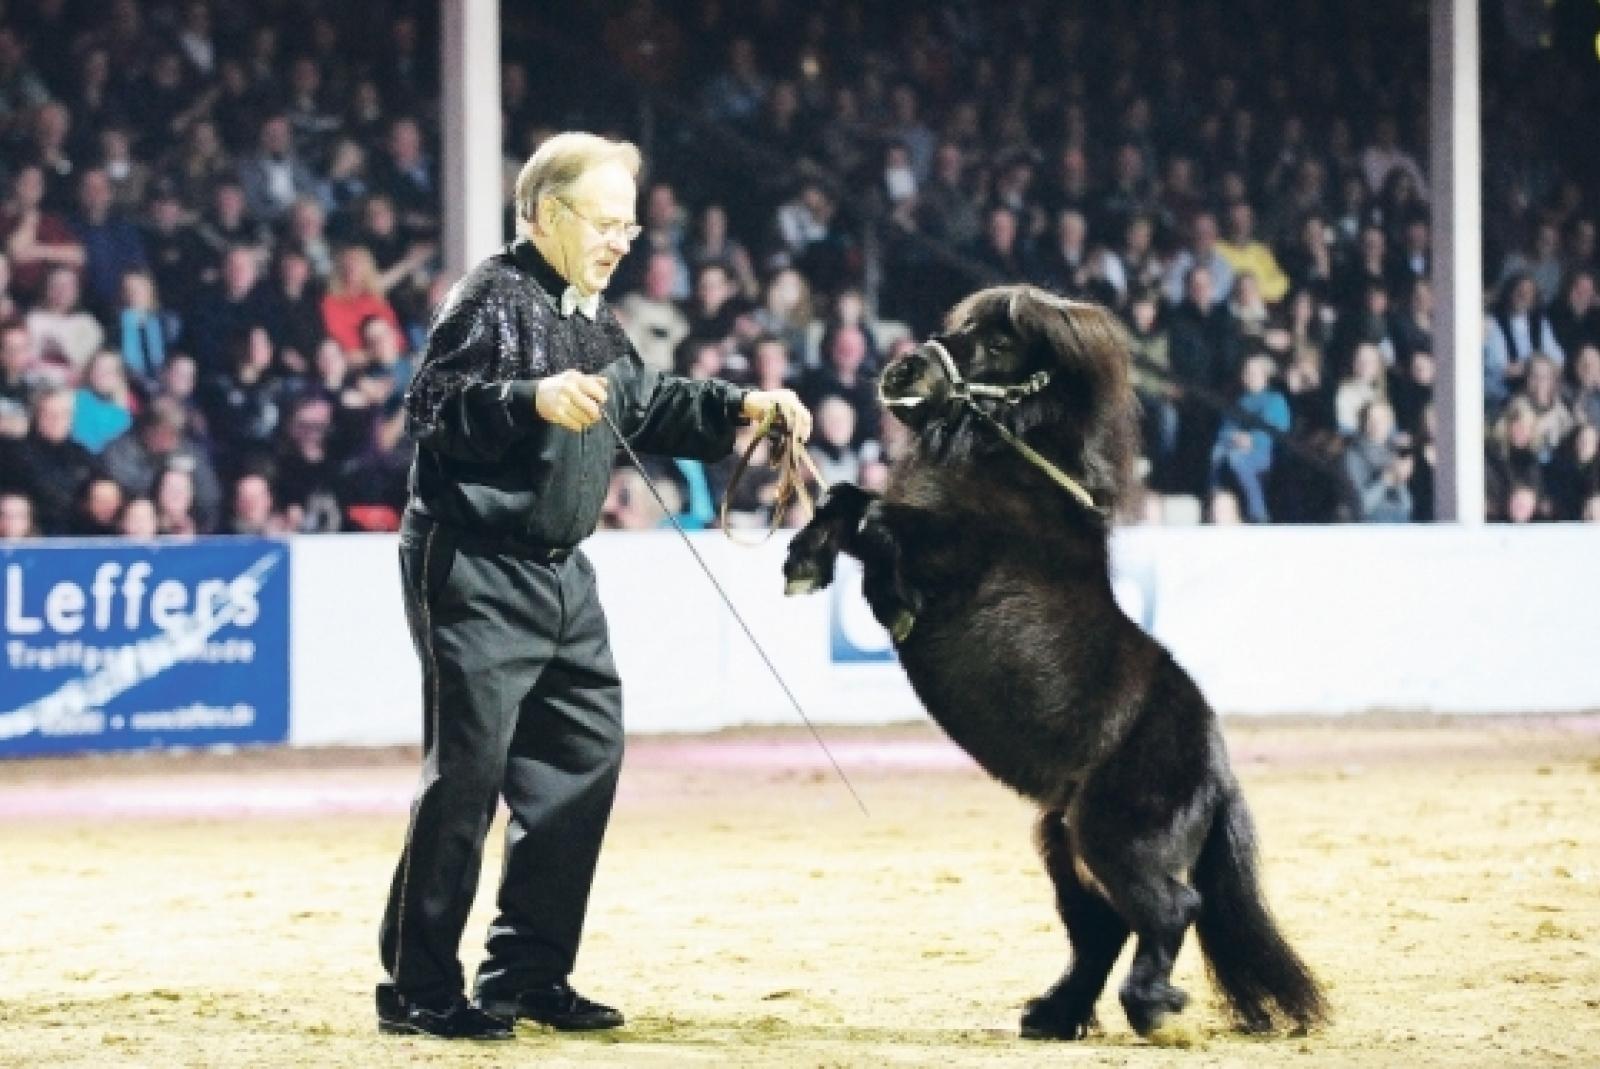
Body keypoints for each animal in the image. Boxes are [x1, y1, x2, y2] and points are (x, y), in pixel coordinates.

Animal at [783, 285, 1326, 1040]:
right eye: (960, 327)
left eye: (1001, 344)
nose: (902, 371)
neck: (1010, 476)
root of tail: (1217, 775)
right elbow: (848, 499)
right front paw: (805, 560)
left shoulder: (947, 556)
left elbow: (880, 521)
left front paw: (888, 599)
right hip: (1064, 845)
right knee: (1102, 930)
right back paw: (1056, 1014)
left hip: (1114, 839)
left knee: (1169, 910)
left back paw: (1151, 1008)